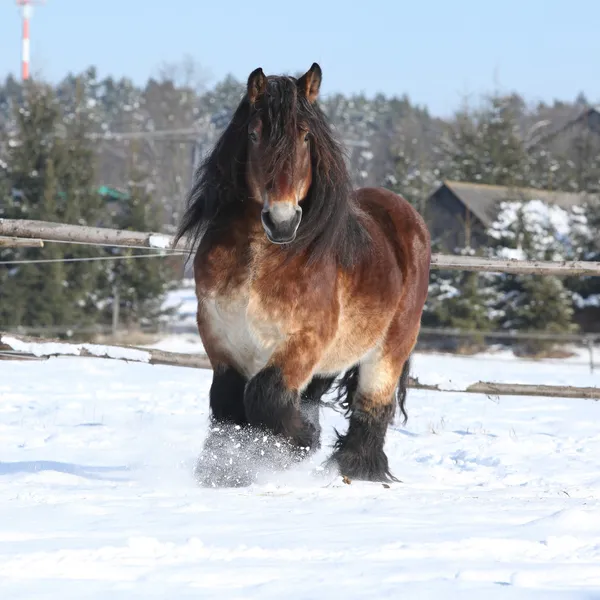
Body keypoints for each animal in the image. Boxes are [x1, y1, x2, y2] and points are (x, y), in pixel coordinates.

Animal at [173, 63, 432, 488]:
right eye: (254, 133)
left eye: (306, 136)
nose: (281, 221)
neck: (260, 259)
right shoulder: (220, 338)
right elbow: (227, 404)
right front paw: (225, 472)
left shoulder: (304, 341)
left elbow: (265, 394)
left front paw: (299, 443)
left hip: (388, 351)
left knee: (372, 408)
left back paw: (356, 469)